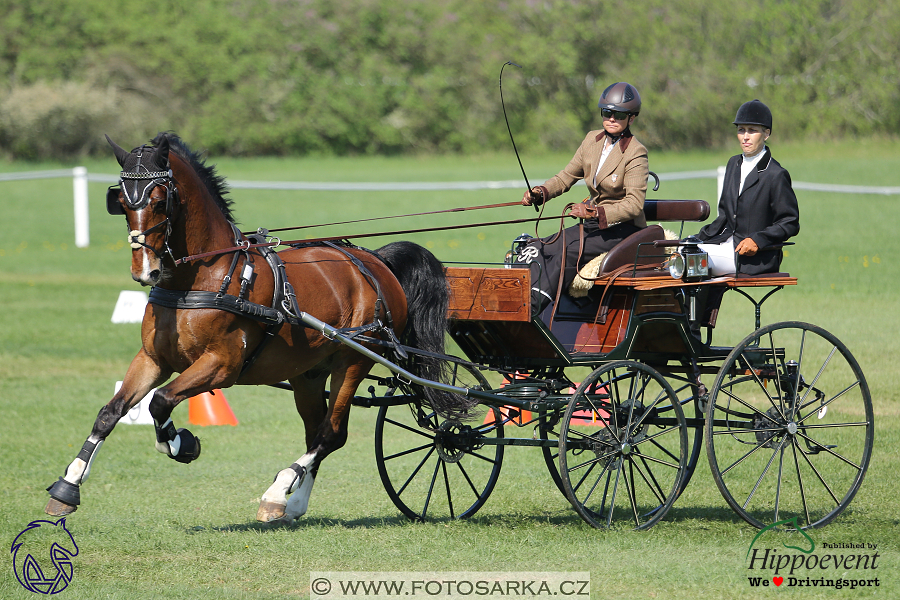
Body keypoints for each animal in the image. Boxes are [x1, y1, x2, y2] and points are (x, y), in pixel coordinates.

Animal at [44, 131, 472, 520]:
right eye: (121, 201)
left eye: (159, 199)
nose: (144, 271)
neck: (203, 277)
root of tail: (374, 260)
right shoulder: (153, 358)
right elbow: (111, 411)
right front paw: (68, 485)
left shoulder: (222, 365)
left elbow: (160, 401)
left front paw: (182, 444)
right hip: (308, 373)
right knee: (317, 431)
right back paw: (293, 503)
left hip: (354, 359)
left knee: (331, 433)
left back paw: (278, 490)